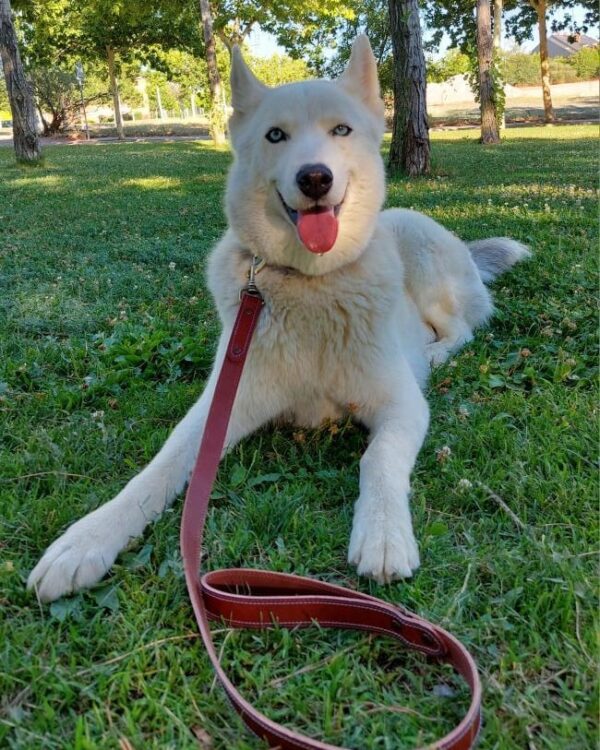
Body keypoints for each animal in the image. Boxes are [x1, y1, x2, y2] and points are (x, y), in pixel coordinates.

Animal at [28, 39, 528, 604]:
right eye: (275, 135)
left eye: (341, 130)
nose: (314, 177)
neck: (309, 284)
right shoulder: (220, 407)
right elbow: (156, 471)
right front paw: (87, 540)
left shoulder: (401, 406)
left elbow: (376, 459)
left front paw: (382, 533)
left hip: (422, 260)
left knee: (462, 327)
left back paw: (434, 352)